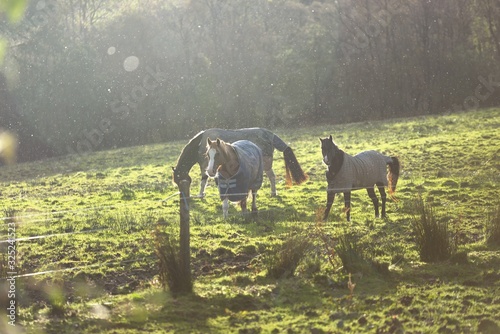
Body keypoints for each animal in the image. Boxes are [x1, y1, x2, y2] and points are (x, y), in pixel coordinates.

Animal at [173, 127, 308, 196]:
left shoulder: (205, 166)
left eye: (179, 181)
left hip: (266, 164)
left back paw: (273, 192)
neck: (199, 145)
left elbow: (203, 181)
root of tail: (270, 135)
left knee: (272, 176)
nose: (183, 195)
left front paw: (201, 195)